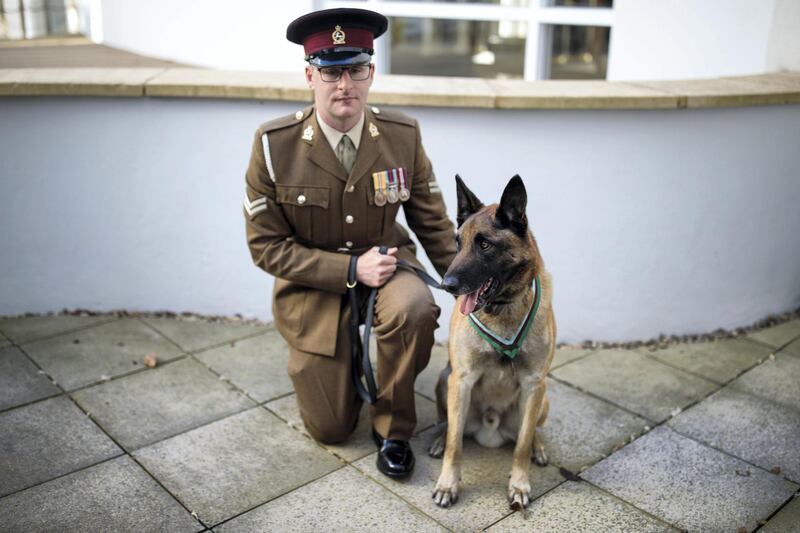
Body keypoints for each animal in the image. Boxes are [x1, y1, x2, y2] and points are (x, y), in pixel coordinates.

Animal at [432, 175, 556, 508]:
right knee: (450, 426)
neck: (501, 309)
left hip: (543, 398)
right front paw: (448, 484)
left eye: (485, 244)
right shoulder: (461, 380)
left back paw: (539, 447)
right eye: (458, 243)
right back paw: (438, 438)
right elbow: (455, 445)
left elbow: (521, 445)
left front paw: (520, 485)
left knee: (531, 431)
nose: (446, 285)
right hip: (445, 382)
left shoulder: (533, 384)